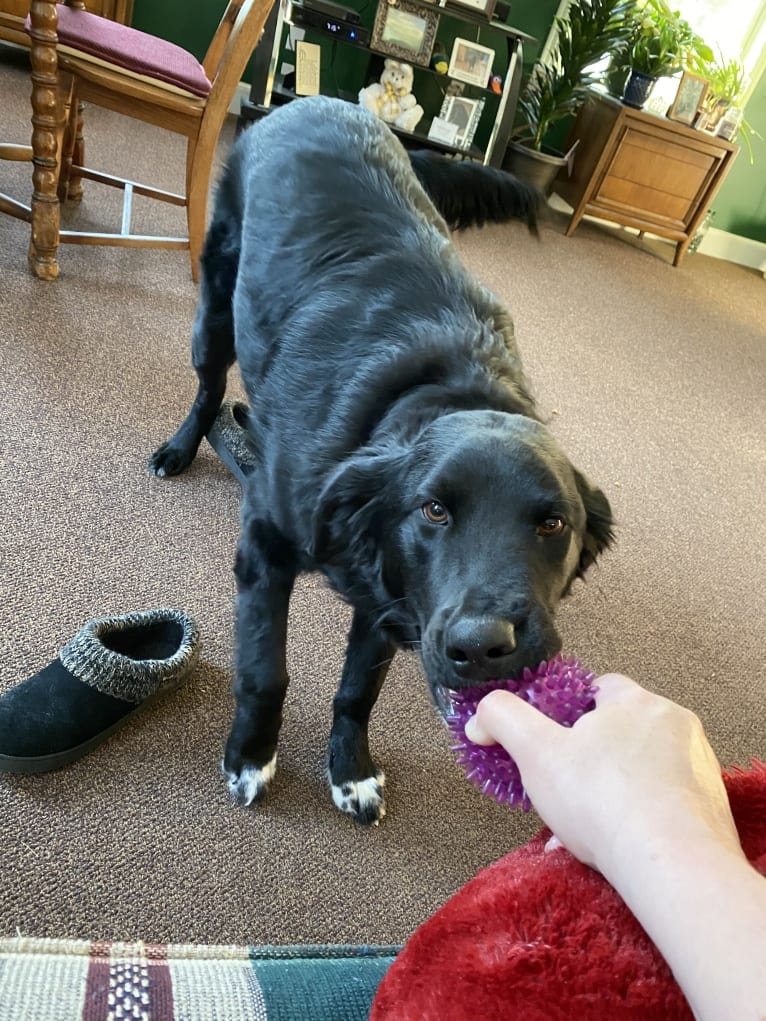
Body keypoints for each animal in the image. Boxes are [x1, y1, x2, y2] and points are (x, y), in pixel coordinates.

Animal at [153, 95, 616, 824]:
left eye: (553, 524)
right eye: (434, 511)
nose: (485, 647)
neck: (443, 386)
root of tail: (323, 100)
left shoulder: (389, 593)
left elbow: (357, 691)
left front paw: (350, 770)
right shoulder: (265, 547)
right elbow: (264, 670)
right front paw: (251, 754)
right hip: (216, 312)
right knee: (207, 388)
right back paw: (183, 446)